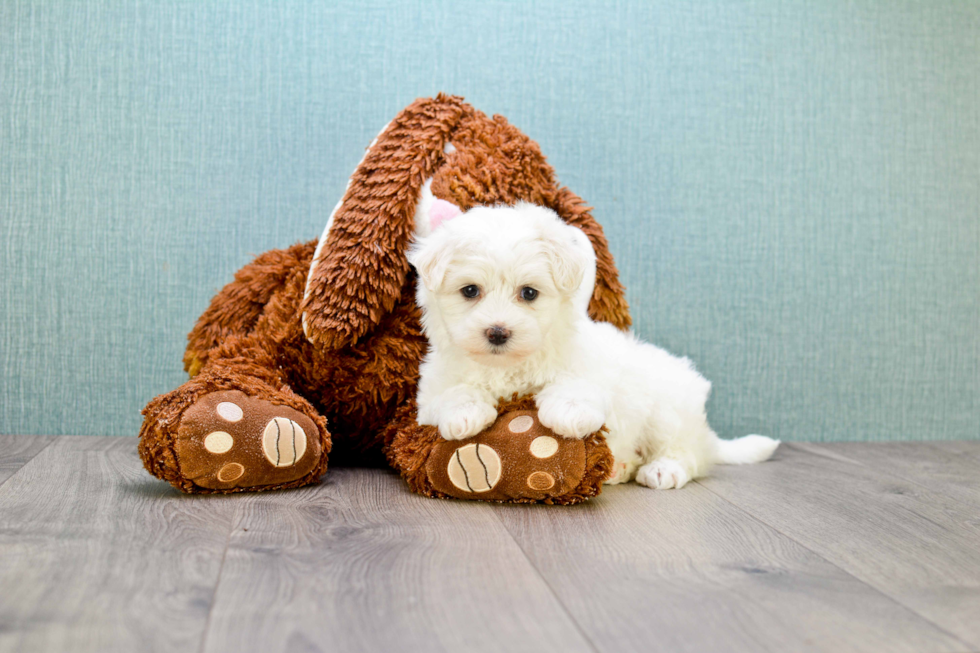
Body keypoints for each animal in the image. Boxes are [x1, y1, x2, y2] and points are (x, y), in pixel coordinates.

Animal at [408, 201, 780, 486]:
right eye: (470, 290)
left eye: (529, 293)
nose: (498, 332)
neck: (507, 366)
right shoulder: (430, 391)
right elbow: (453, 393)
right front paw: (464, 414)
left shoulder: (587, 366)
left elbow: (575, 385)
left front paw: (569, 413)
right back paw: (620, 467)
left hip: (669, 410)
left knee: (687, 454)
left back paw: (662, 469)